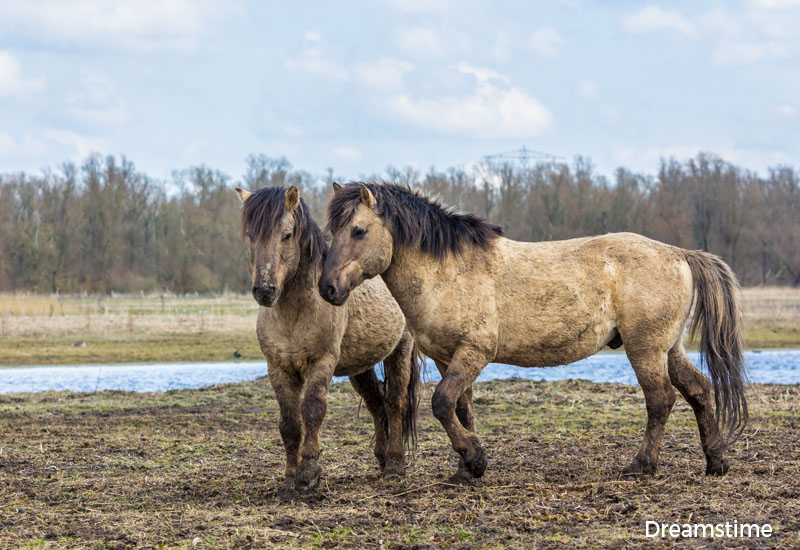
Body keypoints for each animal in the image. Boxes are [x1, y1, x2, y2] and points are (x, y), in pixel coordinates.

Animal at [236, 185, 421, 493]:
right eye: (251, 235)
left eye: (287, 234)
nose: (264, 290)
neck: (294, 314)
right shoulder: (278, 368)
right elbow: (289, 422)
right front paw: (290, 478)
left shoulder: (321, 362)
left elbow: (312, 410)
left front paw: (309, 472)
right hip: (360, 367)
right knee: (376, 403)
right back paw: (382, 459)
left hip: (400, 350)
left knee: (395, 402)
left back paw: (395, 465)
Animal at [318, 182, 748, 482]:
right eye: (332, 231)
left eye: (358, 231)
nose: (327, 288)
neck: (449, 271)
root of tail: (679, 254)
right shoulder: (446, 356)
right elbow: (461, 407)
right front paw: (466, 468)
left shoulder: (474, 352)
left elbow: (441, 403)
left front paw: (474, 458)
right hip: (668, 349)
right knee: (699, 389)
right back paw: (715, 461)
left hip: (645, 349)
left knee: (660, 400)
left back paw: (641, 465)